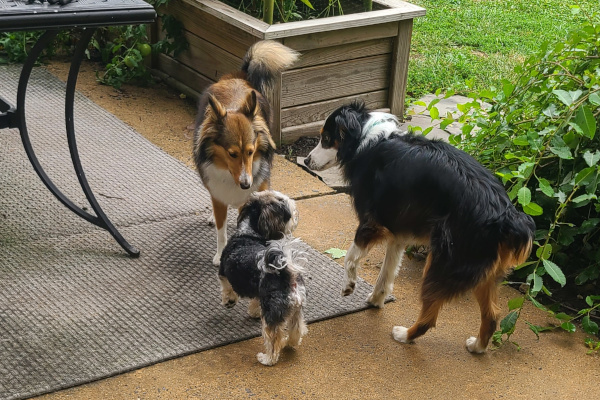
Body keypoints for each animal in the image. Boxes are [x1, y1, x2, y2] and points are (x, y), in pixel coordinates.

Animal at [193, 40, 298, 266]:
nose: (246, 184)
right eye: (232, 154)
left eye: (251, 152)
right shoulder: (219, 194)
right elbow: (221, 230)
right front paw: (220, 253)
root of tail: (239, 76)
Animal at [218, 191, 308, 366]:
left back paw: (267, 358)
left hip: (272, 314)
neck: (248, 233)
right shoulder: (258, 291)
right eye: (288, 212)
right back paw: (290, 343)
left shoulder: (223, 272)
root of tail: (287, 275)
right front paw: (254, 311)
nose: (297, 214)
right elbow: (254, 300)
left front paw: (229, 301)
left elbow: (227, 288)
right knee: (296, 329)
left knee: (273, 339)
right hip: (295, 309)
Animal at [304, 100, 536, 354]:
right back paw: (477, 347)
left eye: (326, 138)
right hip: (483, 272)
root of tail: (507, 216)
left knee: (430, 318)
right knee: (492, 315)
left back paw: (405, 335)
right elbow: (387, 273)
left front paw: (349, 285)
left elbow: (349, 257)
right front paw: (376, 299)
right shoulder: (397, 235)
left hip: (443, 261)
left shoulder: (372, 224)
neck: (366, 139)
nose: (305, 161)